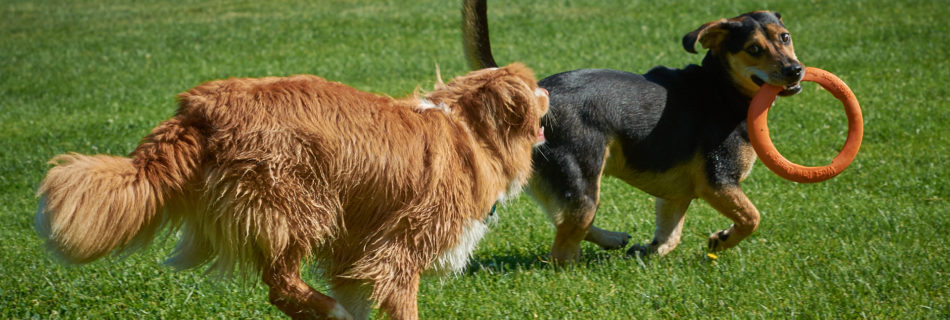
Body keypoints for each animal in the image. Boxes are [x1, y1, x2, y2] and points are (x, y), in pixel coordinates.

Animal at [35, 63, 552, 320]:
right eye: (533, 89)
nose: (549, 89)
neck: (470, 129)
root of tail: (200, 108)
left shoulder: (355, 250)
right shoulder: (399, 246)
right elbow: (401, 300)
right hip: (295, 203)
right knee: (281, 285)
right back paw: (327, 311)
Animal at [464, 0, 808, 262]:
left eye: (785, 37)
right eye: (753, 49)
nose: (795, 70)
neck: (723, 89)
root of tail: (535, 96)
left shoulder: (676, 195)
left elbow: (670, 235)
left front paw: (649, 251)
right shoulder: (718, 182)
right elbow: (752, 217)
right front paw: (721, 239)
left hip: (557, 182)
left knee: (564, 220)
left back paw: (613, 240)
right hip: (583, 177)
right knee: (563, 247)